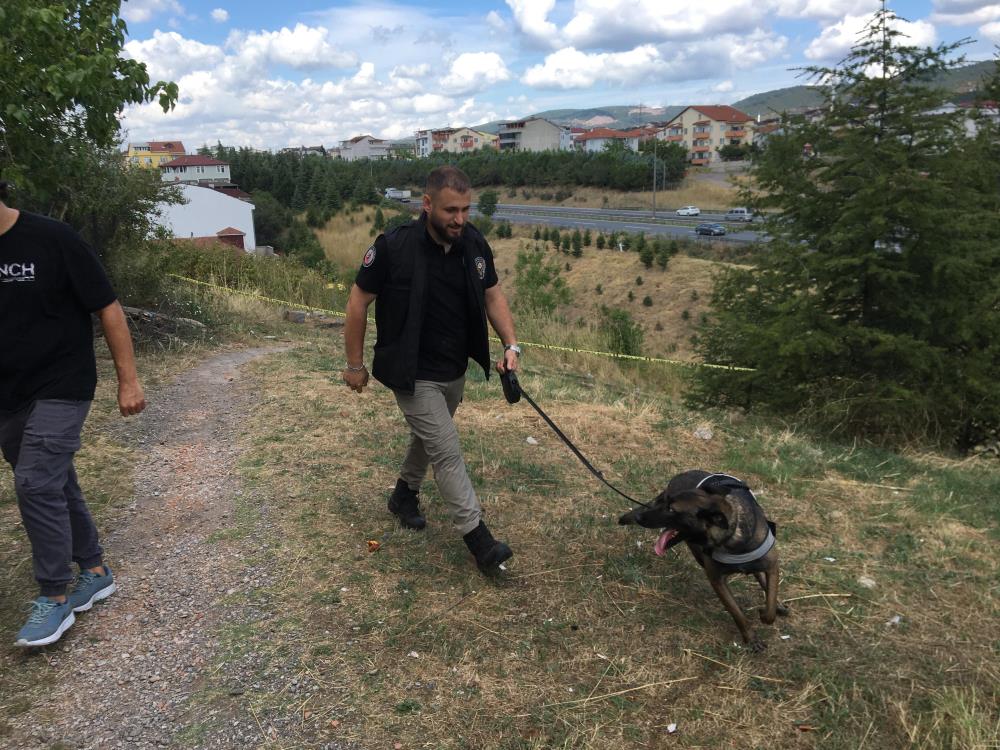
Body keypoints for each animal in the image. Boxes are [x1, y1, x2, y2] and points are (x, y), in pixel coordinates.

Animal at [616, 470, 788, 652]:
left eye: (671, 509)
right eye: (666, 503)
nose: (639, 516)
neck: (732, 535)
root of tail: (681, 475)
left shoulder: (772, 565)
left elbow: (770, 603)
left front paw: (767, 611)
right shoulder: (716, 580)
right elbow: (737, 612)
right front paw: (751, 638)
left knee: (761, 578)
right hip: (698, 554)